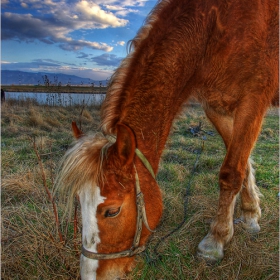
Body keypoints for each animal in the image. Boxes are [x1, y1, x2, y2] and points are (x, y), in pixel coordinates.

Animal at [54, 0, 278, 278]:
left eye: (112, 211)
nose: (89, 275)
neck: (215, 28)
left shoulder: (253, 101)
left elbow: (230, 172)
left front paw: (216, 240)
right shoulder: (216, 107)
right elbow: (243, 165)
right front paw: (250, 215)